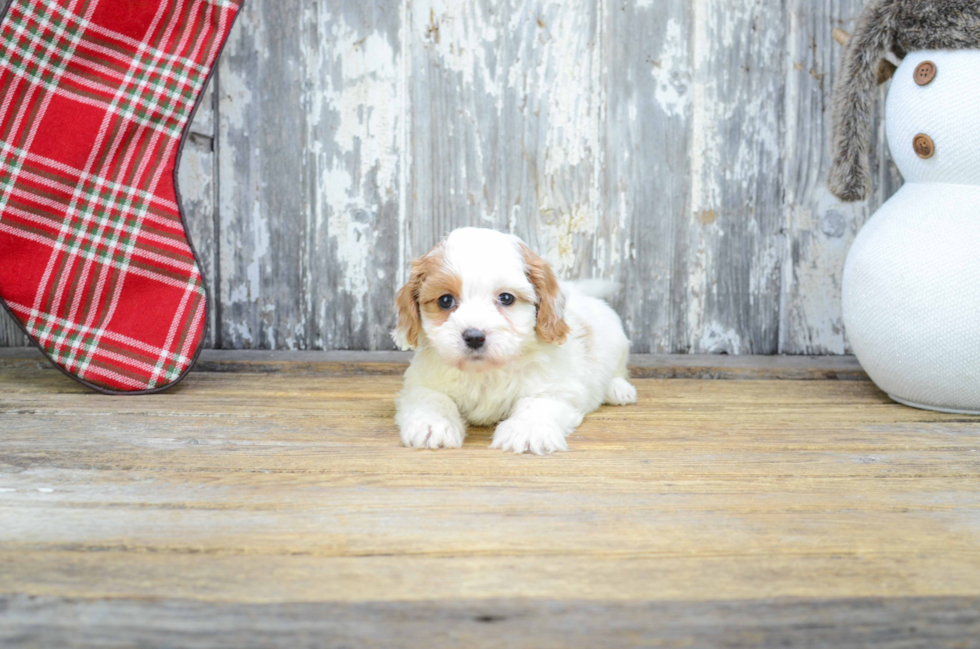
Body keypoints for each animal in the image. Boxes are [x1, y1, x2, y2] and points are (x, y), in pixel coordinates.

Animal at [390, 228, 636, 456]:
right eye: (445, 300)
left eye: (506, 298)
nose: (474, 337)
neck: (485, 373)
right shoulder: (421, 381)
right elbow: (432, 398)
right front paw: (431, 425)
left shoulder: (557, 386)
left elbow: (537, 403)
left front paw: (527, 431)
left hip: (616, 339)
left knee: (618, 369)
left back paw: (618, 389)